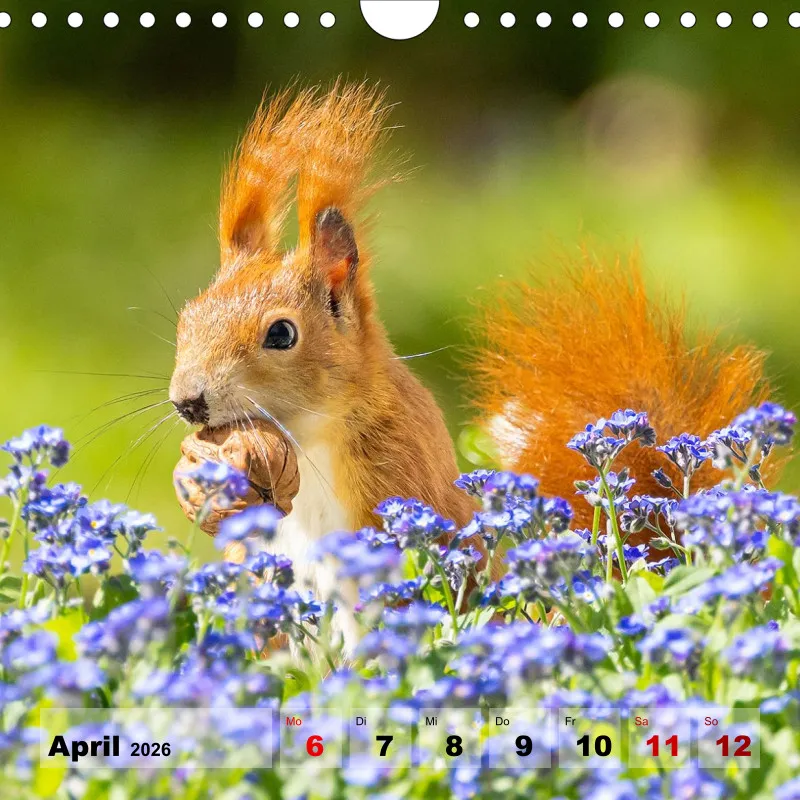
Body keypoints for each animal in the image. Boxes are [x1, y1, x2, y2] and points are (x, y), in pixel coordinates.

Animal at [169, 82, 771, 650]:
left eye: (281, 333)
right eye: (186, 315)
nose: (187, 402)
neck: (307, 440)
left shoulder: (397, 469)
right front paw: (199, 486)